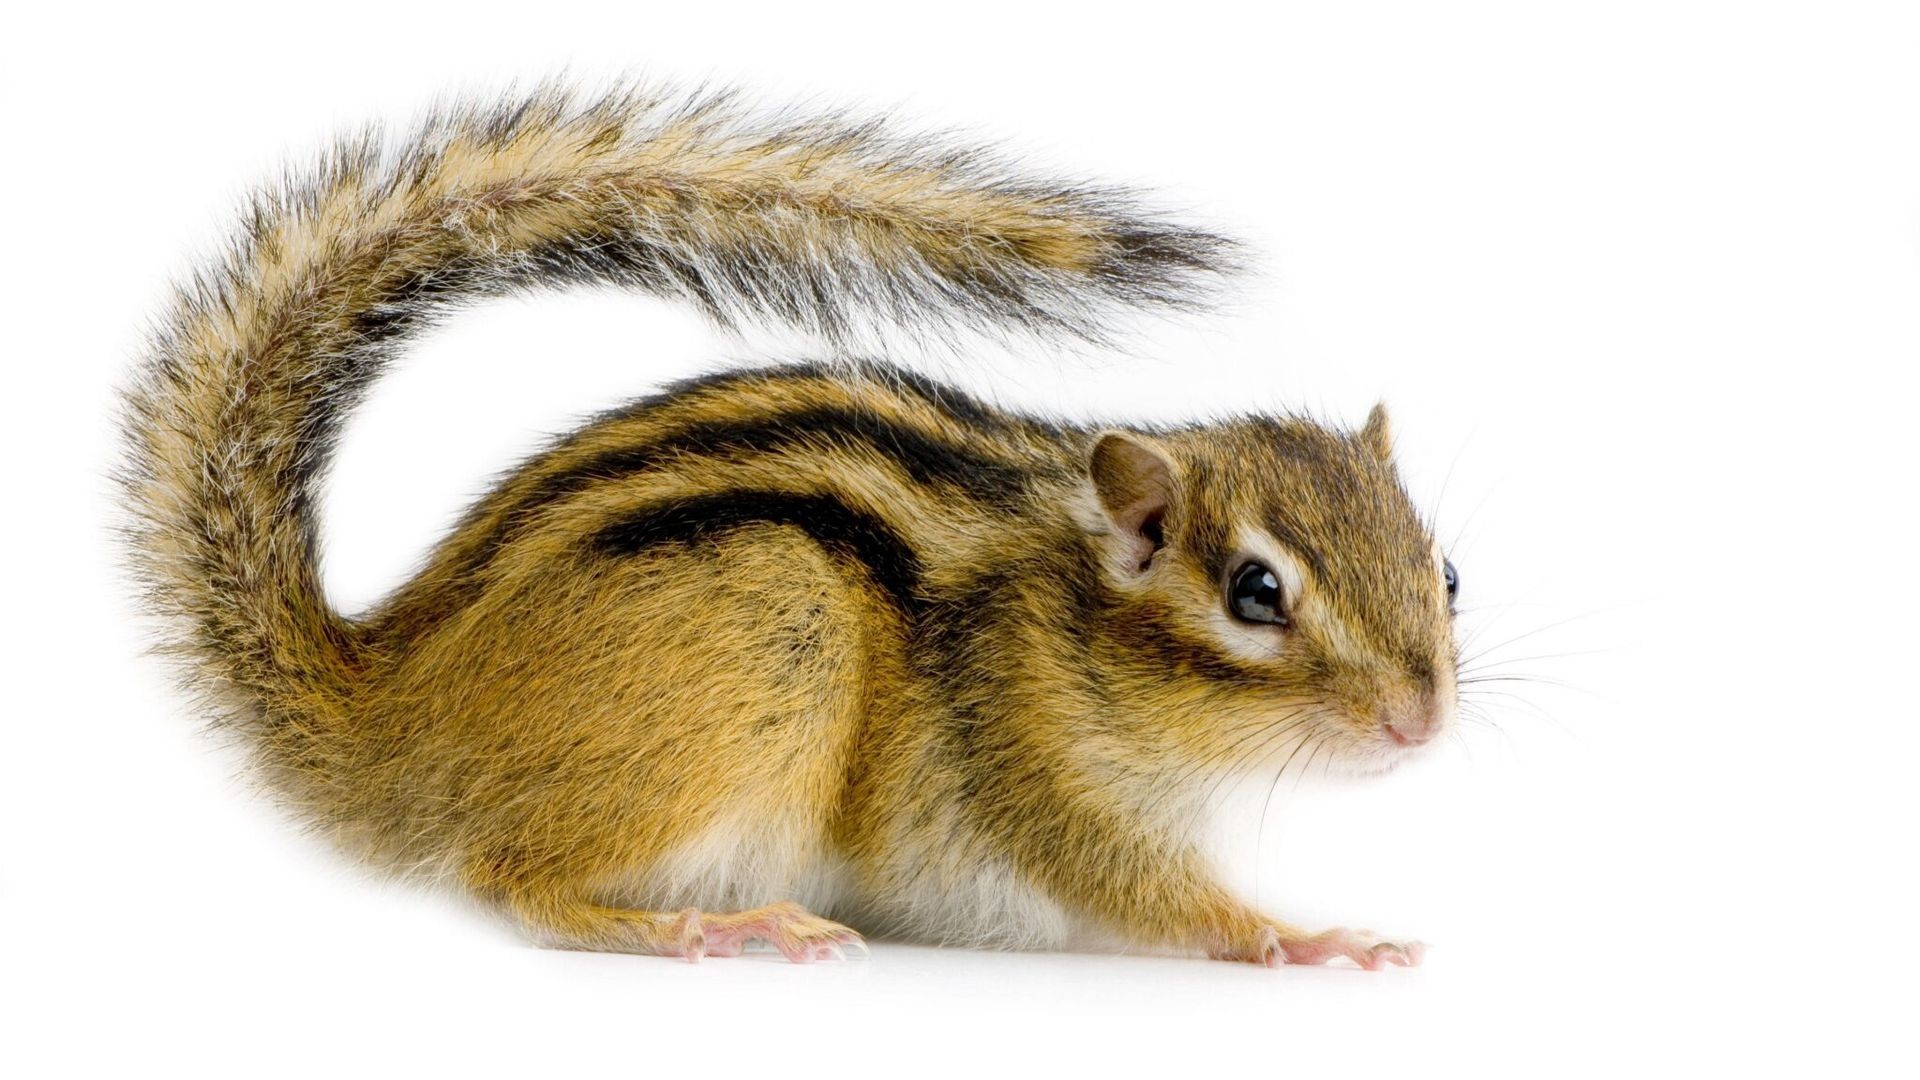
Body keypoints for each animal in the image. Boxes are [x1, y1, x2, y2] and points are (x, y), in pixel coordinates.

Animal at [121, 85, 1457, 968]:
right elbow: (1161, 900)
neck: (1075, 625)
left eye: (1445, 573)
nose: (1422, 722)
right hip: (770, 618)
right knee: (515, 880)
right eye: (1255, 592)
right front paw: (1315, 939)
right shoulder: (1041, 771)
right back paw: (716, 925)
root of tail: (392, 702)